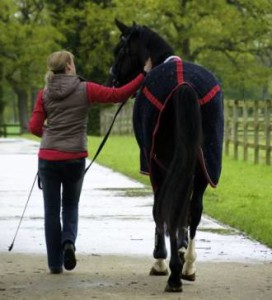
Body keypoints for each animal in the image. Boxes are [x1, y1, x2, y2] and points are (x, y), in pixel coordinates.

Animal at [107, 19, 224, 292]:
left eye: (120, 50)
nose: (112, 80)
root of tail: (183, 85)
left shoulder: (153, 164)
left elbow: (159, 207)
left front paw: (161, 260)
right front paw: (180, 251)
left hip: (162, 163)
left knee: (168, 206)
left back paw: (172, 273)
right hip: (204, 165)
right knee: (194, 210)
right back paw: (188, 267)